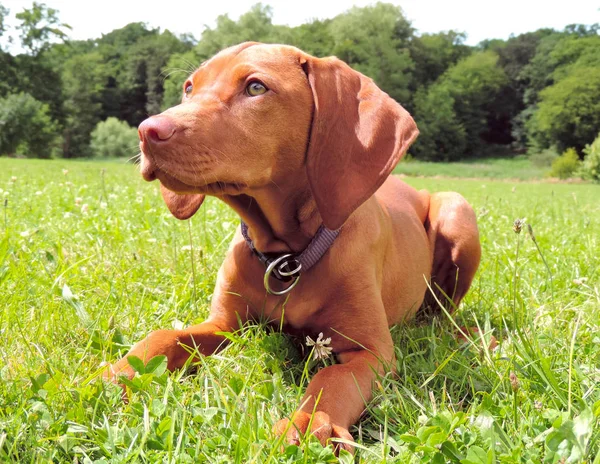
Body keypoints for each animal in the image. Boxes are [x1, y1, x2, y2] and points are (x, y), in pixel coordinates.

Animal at [105, 41, 480, 452]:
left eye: (256, 87)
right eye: (189, 88)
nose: (147, 131)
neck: (286, 256)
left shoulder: (371, 352)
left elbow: (331, 380)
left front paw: (309, 422)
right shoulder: (225, 324)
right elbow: (164, 336)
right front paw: (114, 375)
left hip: (457, 211)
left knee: (443, 310)